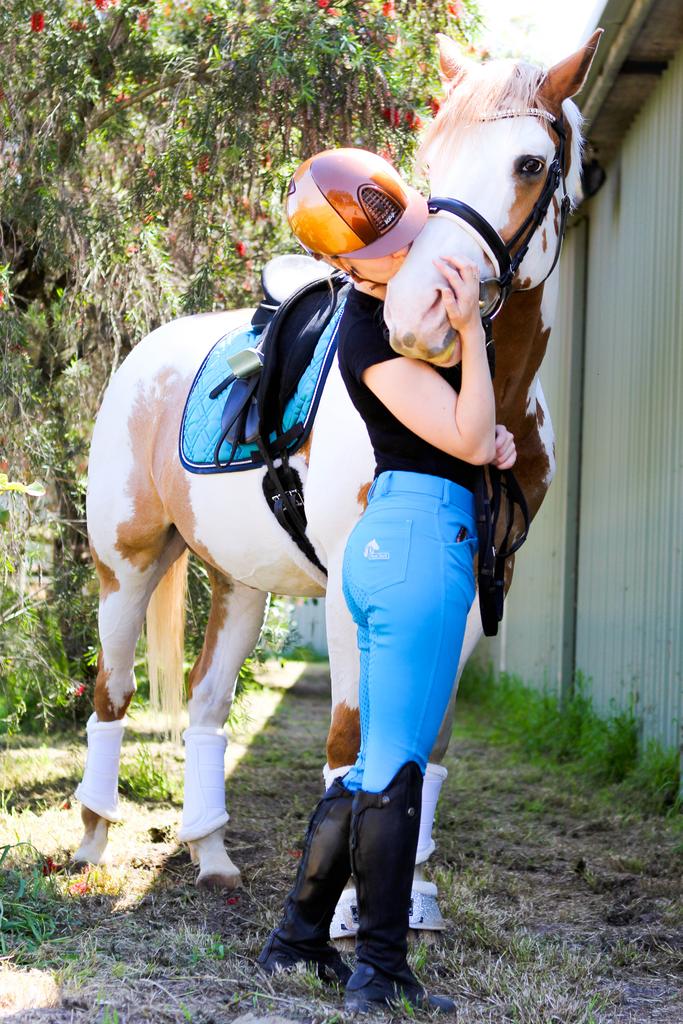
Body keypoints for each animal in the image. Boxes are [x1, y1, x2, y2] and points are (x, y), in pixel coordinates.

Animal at [72, 32, 602, 929]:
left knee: (207, 708)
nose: (418, 316)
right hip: (128, 568)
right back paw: (90, 846)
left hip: (239, 583)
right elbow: (354, 741)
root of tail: (145, 356)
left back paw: (212, 858)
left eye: (531, 162)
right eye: (430, 158)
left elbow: (426, 745)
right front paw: (351, 908)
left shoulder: (470, 589)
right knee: (111, 696)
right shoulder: (364, 591)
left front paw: (411, 897)